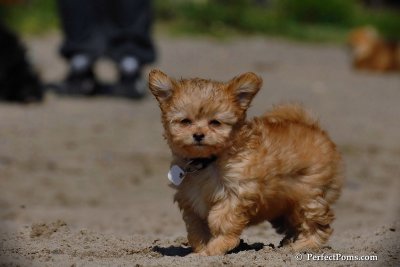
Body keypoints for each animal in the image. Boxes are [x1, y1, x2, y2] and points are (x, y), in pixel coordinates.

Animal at [148, 70, 342, 256]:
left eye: (215, 122)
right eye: (185, 121)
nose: (198, 135)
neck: (209, 160)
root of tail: (314, 129)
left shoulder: (235, 192)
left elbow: (221, 221)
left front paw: (216, 248)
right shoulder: (191, 199)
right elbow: (197, 228)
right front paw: (201, 250)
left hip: (308, 195)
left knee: (317, 223)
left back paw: (304, 245)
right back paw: (289, 243)